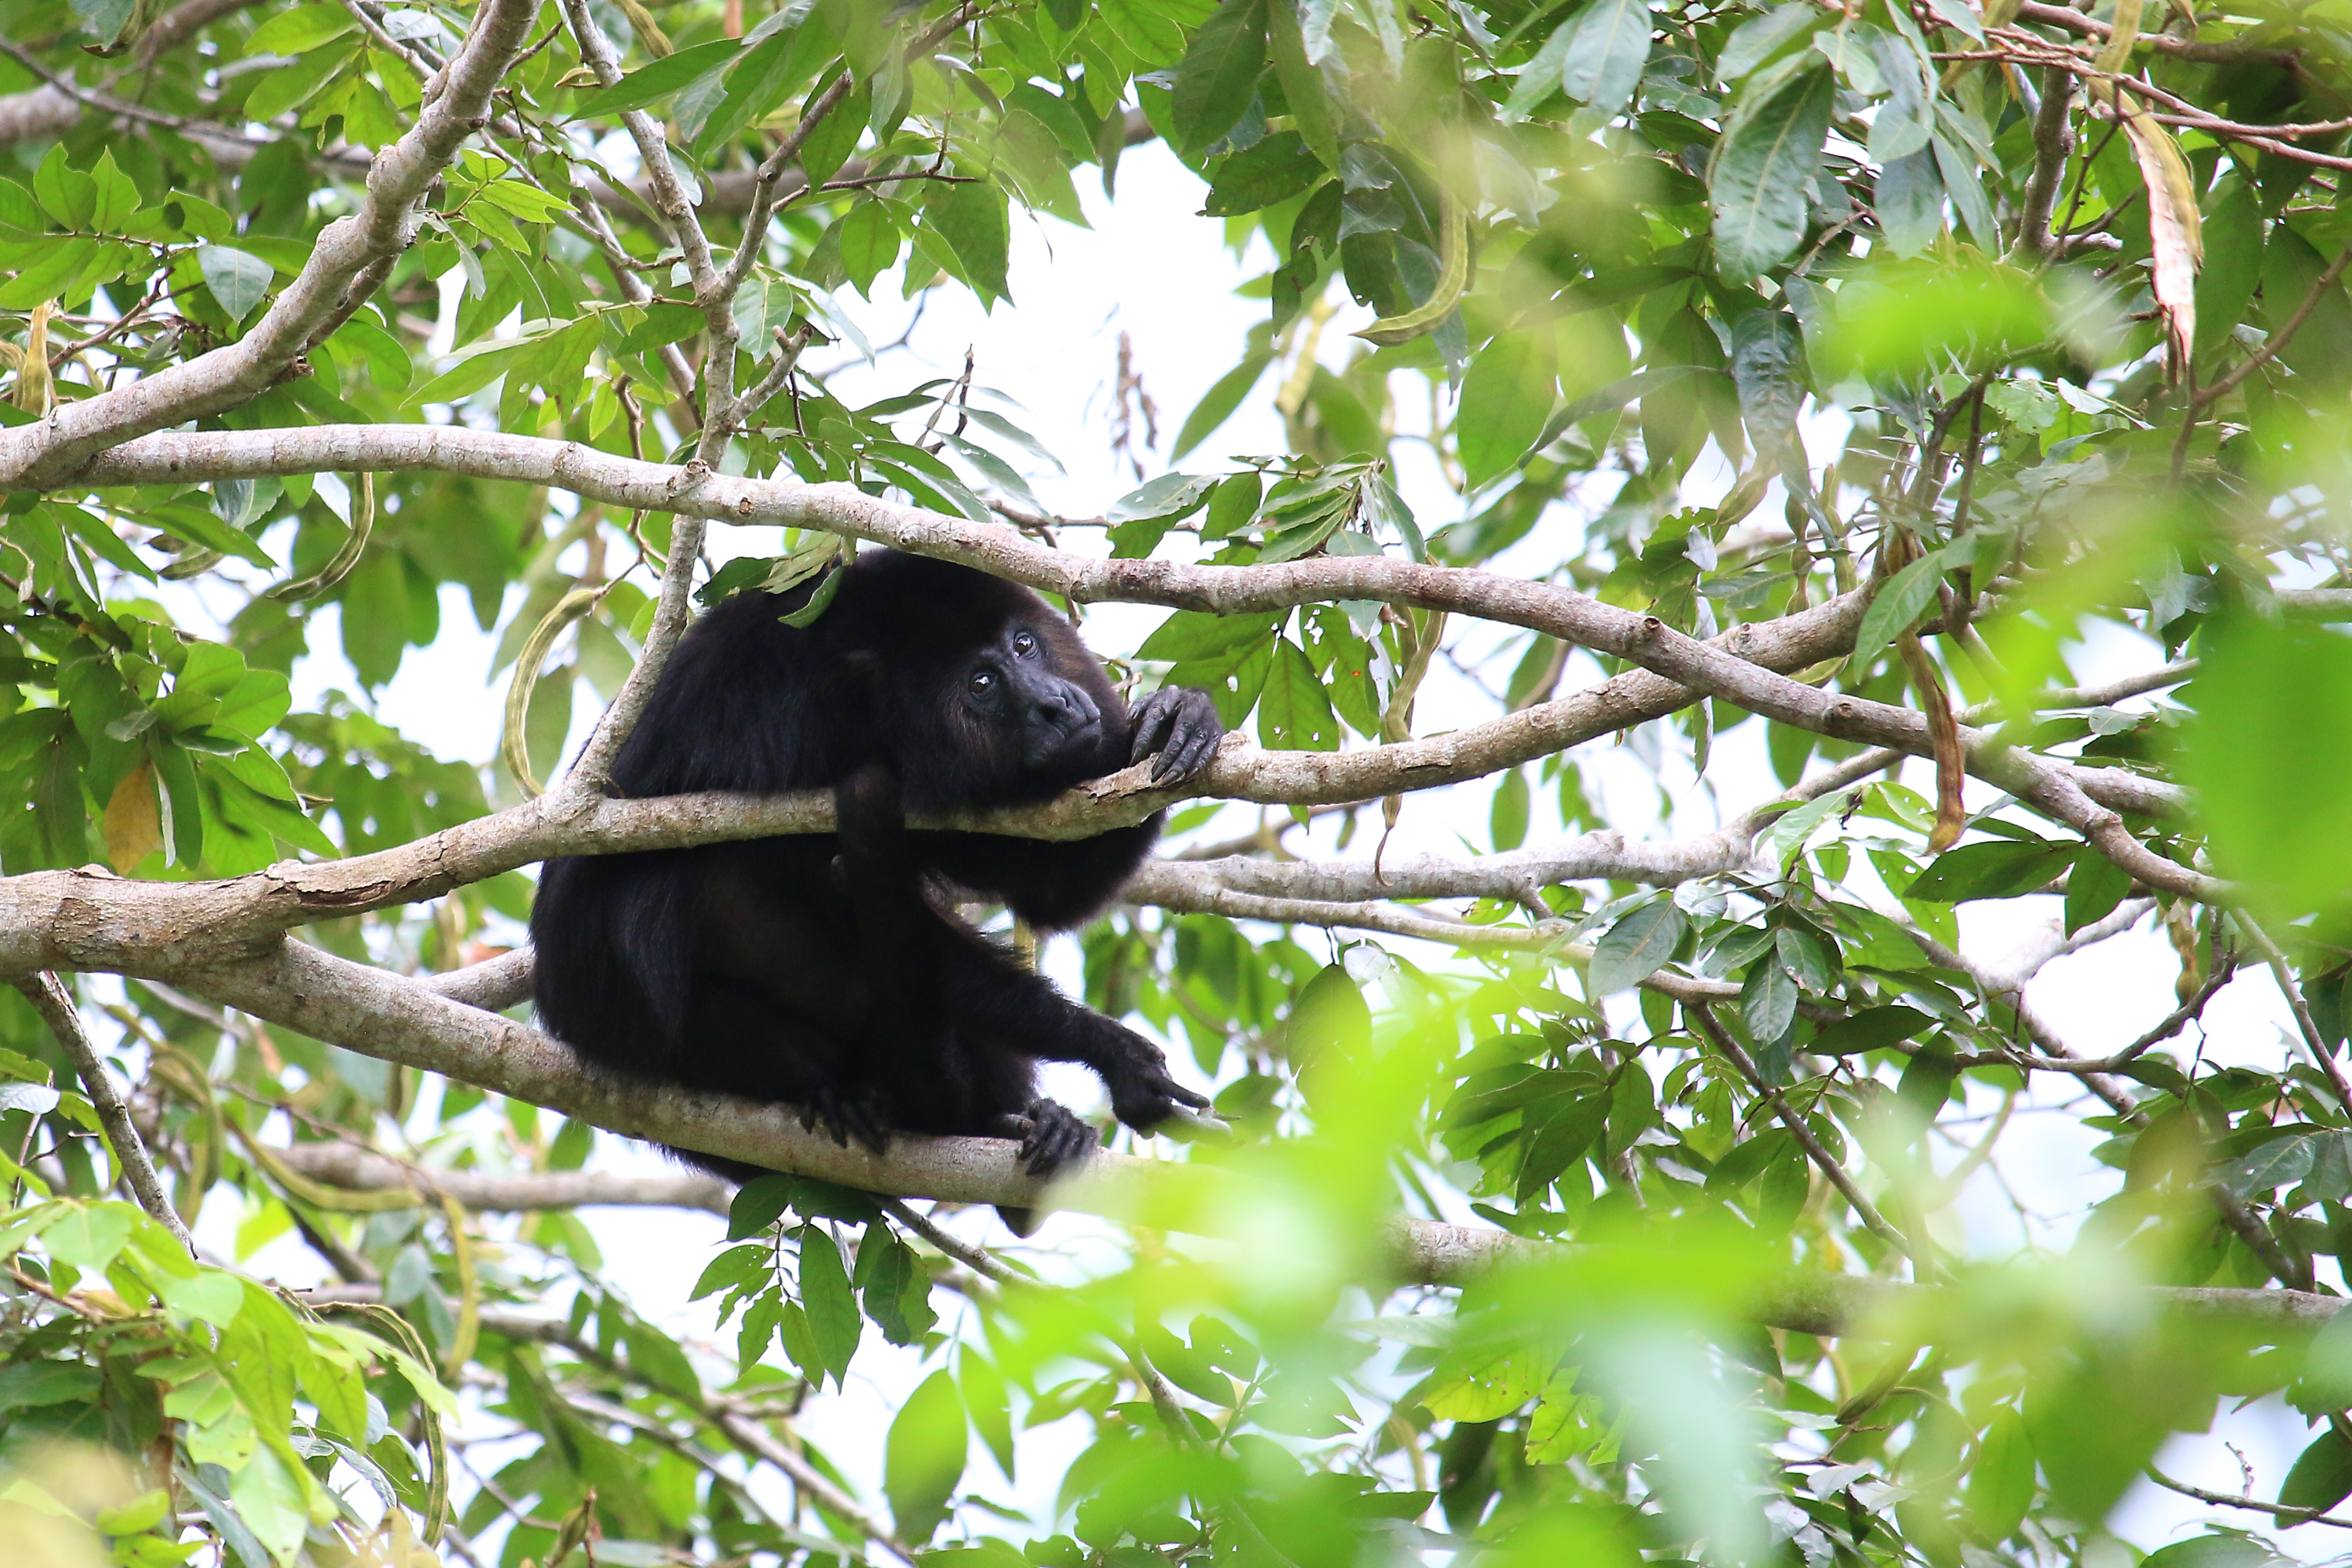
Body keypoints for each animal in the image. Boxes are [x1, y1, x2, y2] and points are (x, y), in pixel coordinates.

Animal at [531, 552, 1223, 1222]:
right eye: (981, 684)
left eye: (1024, 644)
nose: (1057, 703)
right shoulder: (789, 752)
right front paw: (1113, 1050)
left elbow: (1050, 893)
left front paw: (1172, 716)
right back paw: (890, 1105)